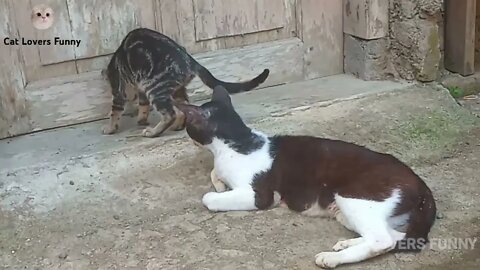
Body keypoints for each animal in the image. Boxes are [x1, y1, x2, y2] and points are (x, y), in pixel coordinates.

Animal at [101, 28, 270, 137]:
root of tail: (190, 60)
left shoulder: (120, 90)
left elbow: (115, 112)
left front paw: (110, 128)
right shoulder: (140, 89)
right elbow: (143, 106)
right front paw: (141, 119)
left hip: (155, 87)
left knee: (169, 114)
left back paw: (154, 132)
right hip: (174, 89)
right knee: (182, 109)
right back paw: (177, 126)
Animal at [176, 86, 438, 268]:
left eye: (190, 126)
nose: (186, 133)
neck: (238, 141)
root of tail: (421, 183)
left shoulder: (260, 195)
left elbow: (208, 198)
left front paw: (217, 191)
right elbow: (215, 173)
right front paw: (220, 182)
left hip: (354, 197)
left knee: (382, 240)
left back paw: (331, 258)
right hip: (358, 213)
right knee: (396, 236)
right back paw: (345, 244)